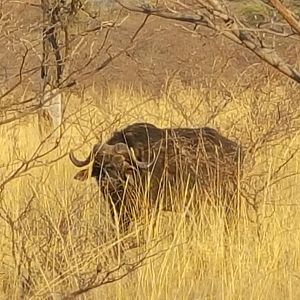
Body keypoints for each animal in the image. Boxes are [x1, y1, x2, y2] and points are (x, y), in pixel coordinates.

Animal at [69, 122, 244, 232]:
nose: (109, 182)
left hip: (230, 199)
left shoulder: (149, 208)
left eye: (122, 164)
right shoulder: (118, 211)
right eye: (100, 165)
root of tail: (236, 148)